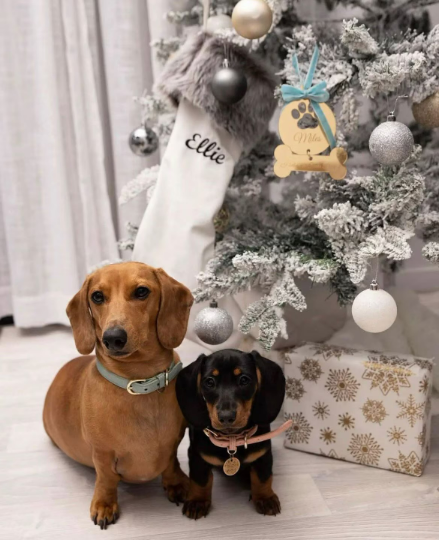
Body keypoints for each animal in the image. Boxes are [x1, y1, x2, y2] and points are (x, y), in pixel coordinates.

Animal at [175, 348, 286, 520]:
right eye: (209, 382)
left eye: (244, 380)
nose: (226, 417)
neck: (232, 439)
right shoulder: (197, 456)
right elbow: (200, 480)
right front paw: (197, 501)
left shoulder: (263, 455)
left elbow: (263, 478)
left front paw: (265, 498)